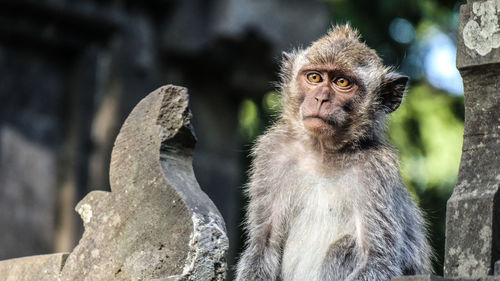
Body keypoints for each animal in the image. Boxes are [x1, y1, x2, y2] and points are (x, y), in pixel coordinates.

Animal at [234, 24, 430, 280]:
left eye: (342, 82)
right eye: (314, 77)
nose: (320, 98)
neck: (323, 154)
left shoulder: (376, 170)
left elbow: (377, 259)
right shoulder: (273, 154)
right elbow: (263, 246)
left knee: (346, 246)